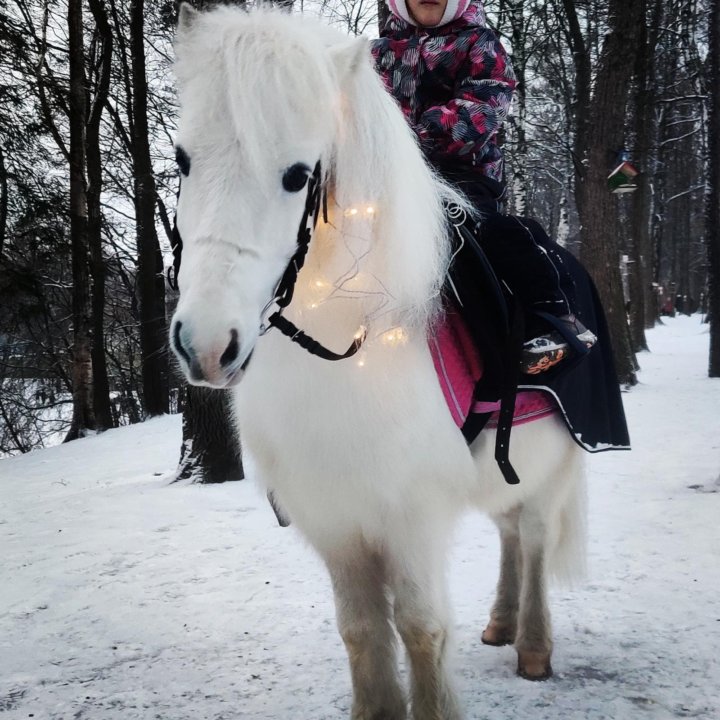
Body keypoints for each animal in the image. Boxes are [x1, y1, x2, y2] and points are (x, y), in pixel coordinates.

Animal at [173, 7, 584, 720]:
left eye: (297, 175)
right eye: (182, 159)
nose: (205, 344)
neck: (345, 354)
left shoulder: (410, 519)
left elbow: (420, 630)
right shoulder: (336, 521)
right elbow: (362, 632)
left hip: (550, 474)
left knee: (532, 541)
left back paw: (532, 647)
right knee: (509, 535)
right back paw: (501, 625)